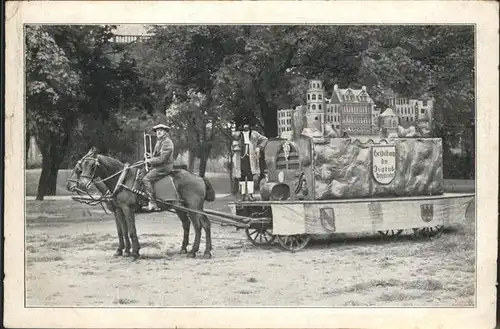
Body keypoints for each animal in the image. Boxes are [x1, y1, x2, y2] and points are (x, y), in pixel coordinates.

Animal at [66, 147, 215, 260]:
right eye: (81, 166)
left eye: (92, 165)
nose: (81, 184)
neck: (122, 180)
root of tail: (198, 177)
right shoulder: (118, 211)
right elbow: (122, 231)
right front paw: (123, 250)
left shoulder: (127, 209)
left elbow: (131, 231)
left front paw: (134, 253)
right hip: (181, 208)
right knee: (191, 224)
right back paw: (189, 249)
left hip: (193, 207)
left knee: (201, 225)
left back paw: (199, 251)